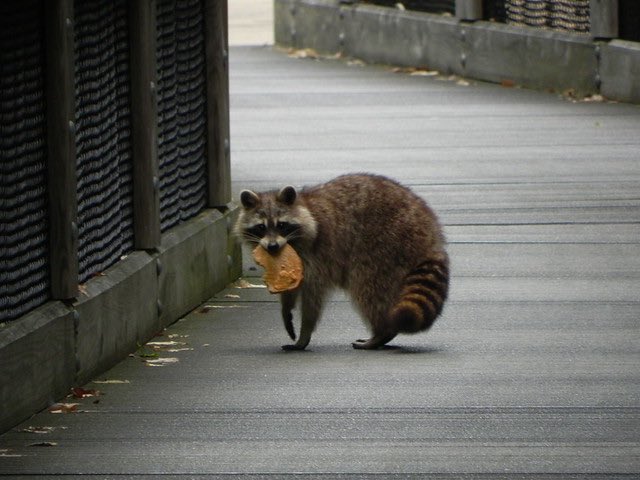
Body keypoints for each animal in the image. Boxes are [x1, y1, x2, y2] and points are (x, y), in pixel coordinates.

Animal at [234, 173, 449, 351]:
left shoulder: (317, 256)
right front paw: (286, 309)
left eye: (281, 225)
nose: (272, 247)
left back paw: (381, 333)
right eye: (261, 227)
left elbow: (313, 295)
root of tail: (430, 232)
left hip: (384, 245)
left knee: (368, 289)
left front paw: (304, 334)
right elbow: (290, 285)